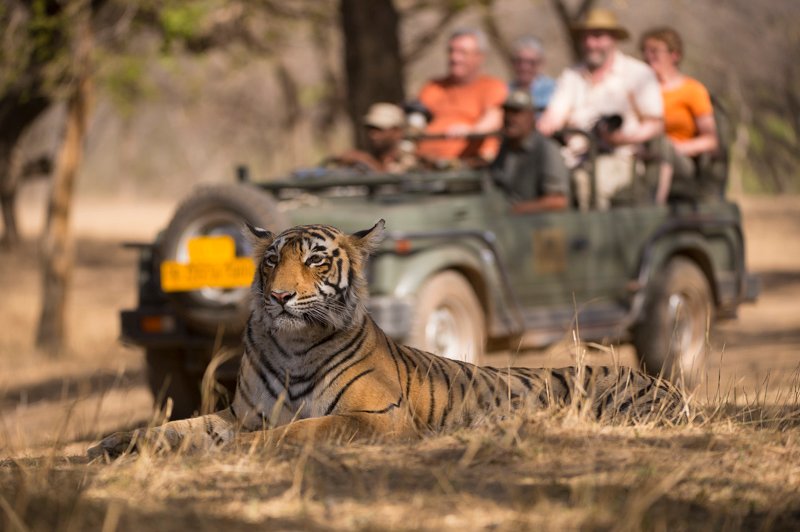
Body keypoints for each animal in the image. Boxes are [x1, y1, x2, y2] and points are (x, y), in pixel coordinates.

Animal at [88, 220, 690, 458]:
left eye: (315, 260)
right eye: (271, 260)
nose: (279, 297)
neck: (292, 345)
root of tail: (672, 389)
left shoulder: (377, 417)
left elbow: (301, 430)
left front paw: (244, 451)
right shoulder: (241, 413)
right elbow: (176, 427)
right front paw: (113, 444)